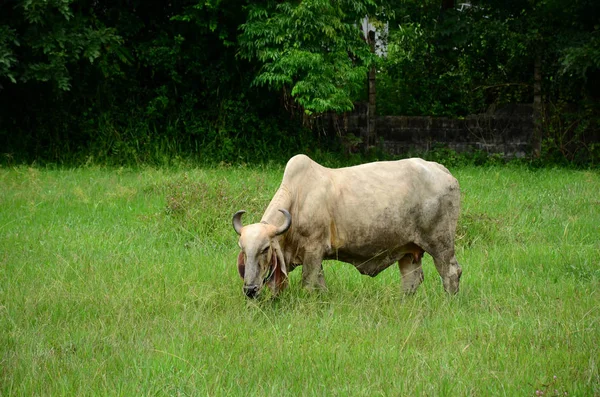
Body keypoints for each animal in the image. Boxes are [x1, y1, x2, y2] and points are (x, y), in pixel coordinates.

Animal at [232, 154, 462, 296]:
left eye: (265, 249)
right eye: (243, 249)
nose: (250, 289)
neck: (297, 197)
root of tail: (441, 169)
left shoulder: (314, 250)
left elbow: (308, 283)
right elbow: (320, 285)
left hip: (441, 243)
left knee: (451, 273)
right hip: (408, 250)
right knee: (411, 280)